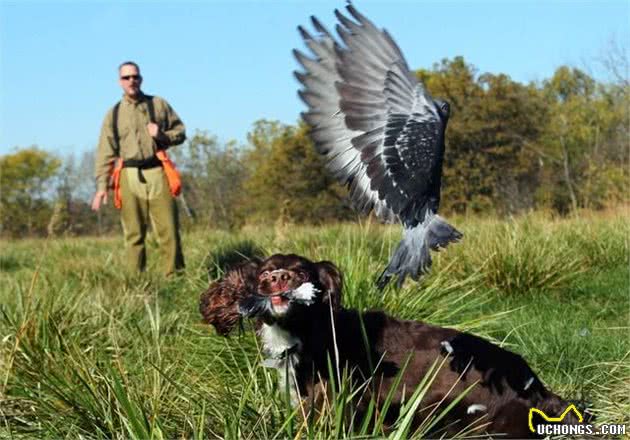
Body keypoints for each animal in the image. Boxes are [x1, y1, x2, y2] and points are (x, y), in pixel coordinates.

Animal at [201, 254, 584, 436]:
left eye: (301, 272)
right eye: (264, 275)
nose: (279, 278)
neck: (306, 331)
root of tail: (539, 391)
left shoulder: (331, 406)